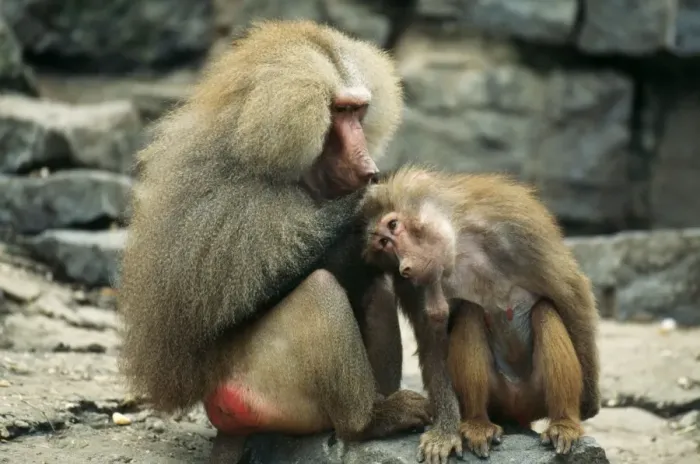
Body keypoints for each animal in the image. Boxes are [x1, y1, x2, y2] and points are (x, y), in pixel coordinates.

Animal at [116, 21, 432, 463]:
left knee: (374, 288)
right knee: (319, 289)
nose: (369, 166)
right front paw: (368, 204)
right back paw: (368, 421)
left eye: (359, 111)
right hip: (258, 388)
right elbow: (253, 295)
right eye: (339, 111)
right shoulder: (241, 207)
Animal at [361, 166, 601, 460]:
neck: (460, 244)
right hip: (497, 396)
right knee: (470, 313)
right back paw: (477, 424)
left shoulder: (515, 224)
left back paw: (562, 422)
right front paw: (445, 433)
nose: (405, 266)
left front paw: (589, 402)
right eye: (384, 243)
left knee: (544, 311)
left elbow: (571, 291)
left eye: (394, 225)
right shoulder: (414, 286)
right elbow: (433, 343)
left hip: (536, 394)